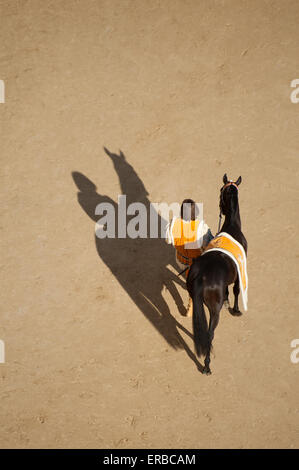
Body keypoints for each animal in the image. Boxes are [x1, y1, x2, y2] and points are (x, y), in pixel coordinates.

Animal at [188, 173, 248, 374]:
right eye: (222, 190)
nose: (220, 207)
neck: (232, 227)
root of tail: (202, 276)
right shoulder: (239, 274)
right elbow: (236, 290)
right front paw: (236, 310)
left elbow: (229, 291)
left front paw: (228, 301)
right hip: (214, 310)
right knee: (209, 333)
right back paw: (206, 365)